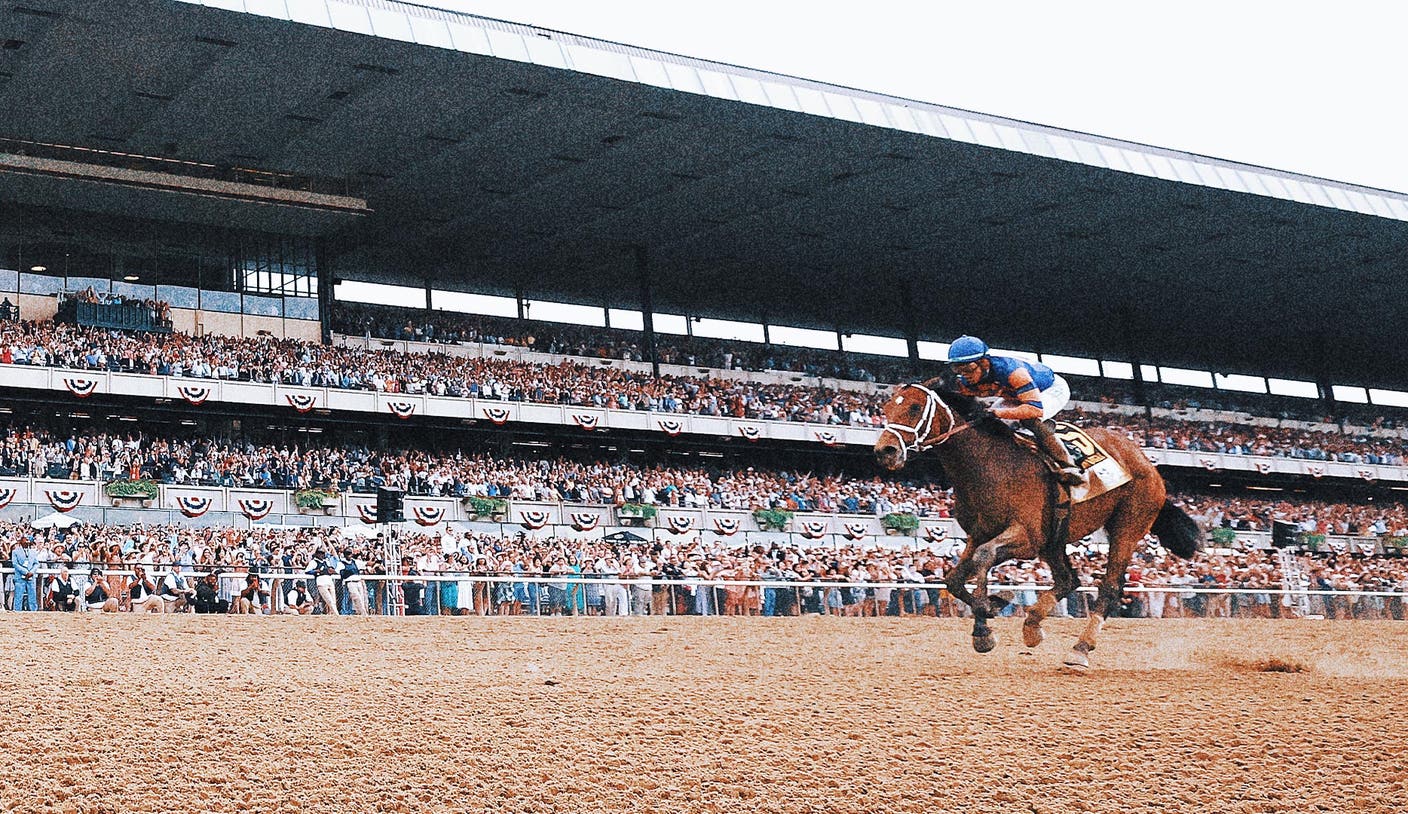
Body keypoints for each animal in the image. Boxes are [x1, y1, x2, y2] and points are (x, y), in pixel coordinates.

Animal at [867, 380, 1199, 664]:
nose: (885, 451)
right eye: (886, 408)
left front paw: (985, 623)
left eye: (914, 407)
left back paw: (1080, 648)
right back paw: (1033, 626)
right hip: (1055, 537)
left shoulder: (1026, 537)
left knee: (1109, 587)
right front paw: (992, 608)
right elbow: (954, 579)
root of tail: (1147, 463)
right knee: (1068, 580)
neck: (990, 465)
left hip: (1127, 526)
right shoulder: (979, 532)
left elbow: (984, 557)